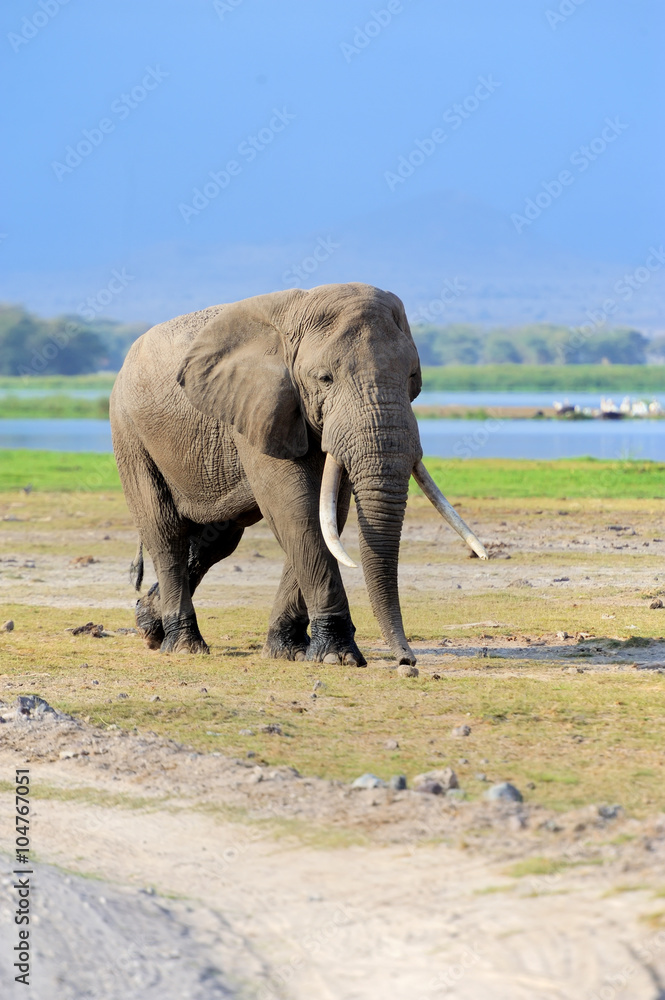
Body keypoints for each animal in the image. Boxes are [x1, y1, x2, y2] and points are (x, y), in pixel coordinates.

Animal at [109, 282, 487, 667]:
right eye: (325, 378)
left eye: (413, 378)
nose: (406, 661)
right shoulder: (262, 404)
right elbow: (297, 510)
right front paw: (337, 657)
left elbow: (328, 513)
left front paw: (287, 651)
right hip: (129, 430)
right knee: (165, 531)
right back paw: (184, 645)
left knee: (217, 540)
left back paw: (149, 626)